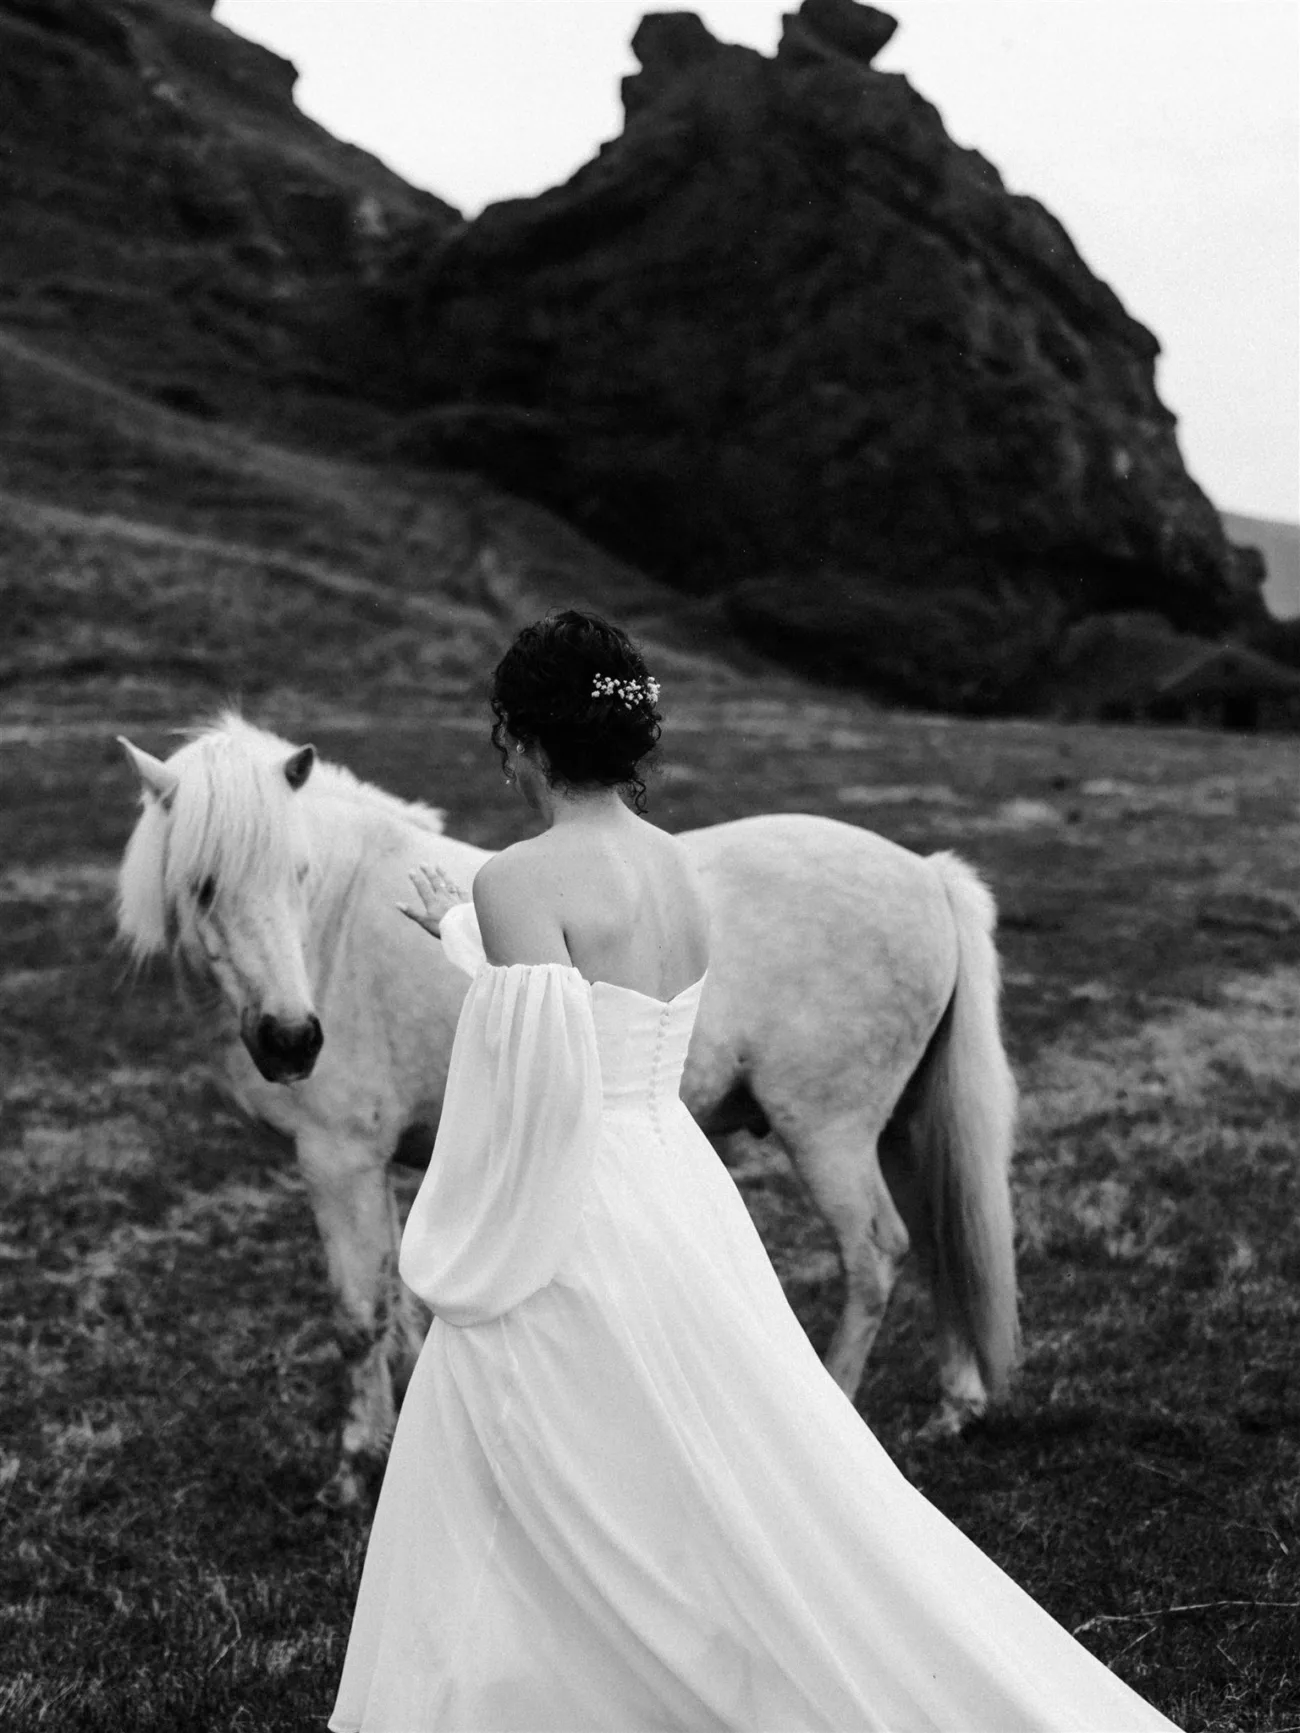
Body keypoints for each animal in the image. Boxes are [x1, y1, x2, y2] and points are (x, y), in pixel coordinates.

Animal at [116, 714, 1018, 1507]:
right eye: (202, 885)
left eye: (298, 874)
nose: (293, 1040)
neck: (339, 928)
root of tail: (927, 874)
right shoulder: (381, 1168)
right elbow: (398, 1304)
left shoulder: (336, 1161)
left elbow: (358, 1315)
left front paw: (350, 1471)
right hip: (901, 1127)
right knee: (940, 1236)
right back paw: (957, 1406)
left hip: (829, 1135)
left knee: (876, 1255)